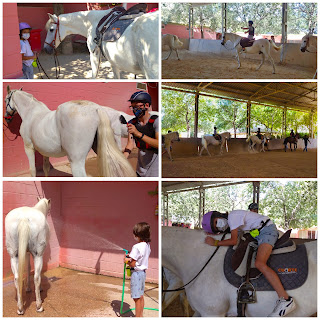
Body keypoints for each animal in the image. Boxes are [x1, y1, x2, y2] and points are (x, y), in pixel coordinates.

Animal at [4, 87, 135, 178]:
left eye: (5, 100)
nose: (6, 117)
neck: (31, 112)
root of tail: (96, 109)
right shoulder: (45, 151)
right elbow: (46, 168)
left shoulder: (28, 147)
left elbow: (32, 171)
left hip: (76, 161)